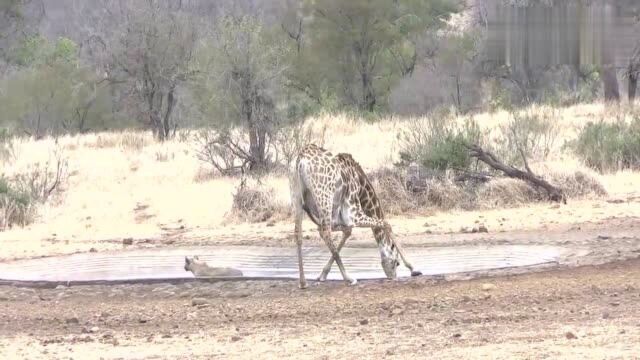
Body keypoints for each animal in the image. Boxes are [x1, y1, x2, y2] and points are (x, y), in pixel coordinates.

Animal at [288, 142, 420, 288]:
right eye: (396, 263)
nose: (393, 277)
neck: (361, 187)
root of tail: (300, 159)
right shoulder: (353, 214)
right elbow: (386, 223)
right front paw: (413, 268)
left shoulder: (338, 219)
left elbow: (347, 232)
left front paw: (322, 275)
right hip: (324, 198)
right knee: (325, 232)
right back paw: (349, 278)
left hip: (296, 197)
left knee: (298, 234)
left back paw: (303, 282)